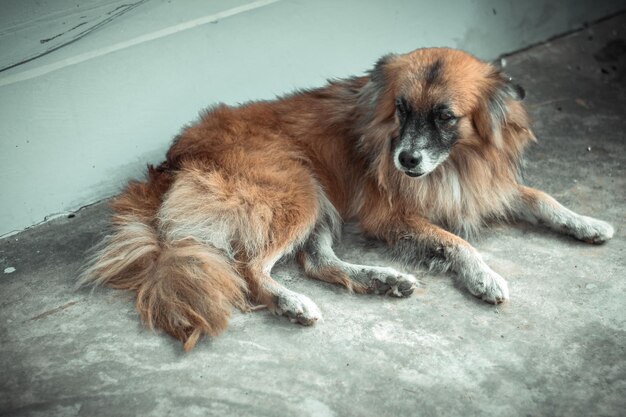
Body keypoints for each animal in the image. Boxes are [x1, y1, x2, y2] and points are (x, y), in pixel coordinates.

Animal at [80, 47, 612, 350]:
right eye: (401, 109)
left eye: (445, 116)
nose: (406, 161)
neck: (456, 163)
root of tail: (170, 162)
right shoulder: (392, 215)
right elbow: (458, 243)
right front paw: (485, 277)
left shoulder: (485, 187)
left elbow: (543, 198)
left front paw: (588, 223)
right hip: (298, 190)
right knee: (250, 269)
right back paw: (292, 303)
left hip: (318, 202)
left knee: (317, 261)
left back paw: (382, 280)